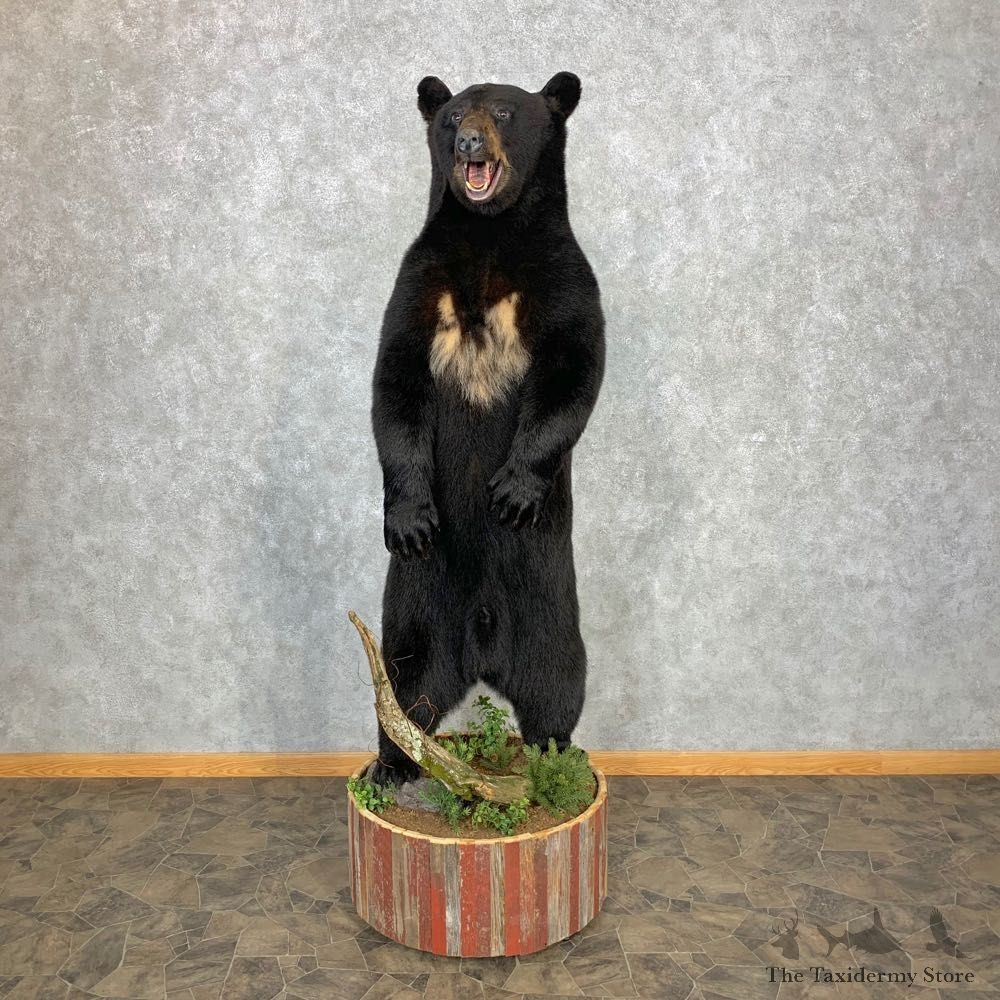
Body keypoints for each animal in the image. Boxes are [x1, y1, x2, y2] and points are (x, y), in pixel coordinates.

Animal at [368, 71, 605, 784]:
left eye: (503, 110)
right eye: (451, 115)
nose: (469, 140)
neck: (489, 238)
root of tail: (480, 649)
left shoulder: (566, 277)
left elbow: (573, 369)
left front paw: (514, 488)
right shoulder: (417, 281)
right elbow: (395, 383)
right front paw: (409, 515)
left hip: (548, 601)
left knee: (558, 680)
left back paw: (555, 760)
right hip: (415, 601)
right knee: (405, 681)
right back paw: (391, 764)